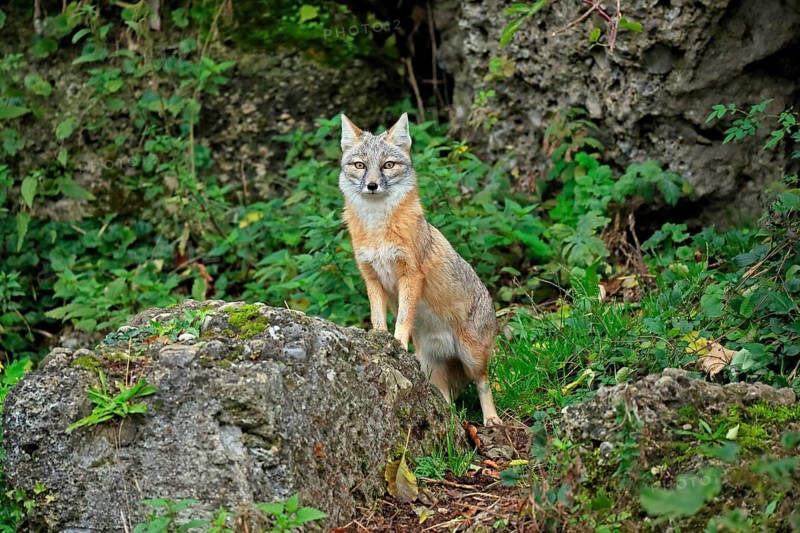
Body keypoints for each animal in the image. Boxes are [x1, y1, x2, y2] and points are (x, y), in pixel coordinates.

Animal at [339, 113, 502, 426]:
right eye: (360, 165)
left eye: (388, 165)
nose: (372, 185)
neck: (378, 231)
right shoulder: (372, 278)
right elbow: (378, 319)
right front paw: (380, 341)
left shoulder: (410, 275)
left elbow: (403, 318)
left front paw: (398, 345)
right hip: (429, 366)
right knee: (445, 401)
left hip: (472, 357)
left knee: (484, 383)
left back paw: (491, 420)